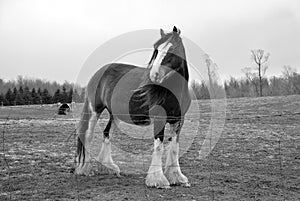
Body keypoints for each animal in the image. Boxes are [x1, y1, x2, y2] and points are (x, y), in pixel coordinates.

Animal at [76, 26, 191, 188]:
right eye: (156, 50)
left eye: (172, 49)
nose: (154, 75)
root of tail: (98, 73)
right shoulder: (160, 119)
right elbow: (159, 146)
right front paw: (158, 180)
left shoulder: (178, 120)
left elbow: (174, 147)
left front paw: (177, 177)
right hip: (94, 110)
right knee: (88, 135)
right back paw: (85, 169)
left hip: (115, 115)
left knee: (107, 133)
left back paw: (109, 167)